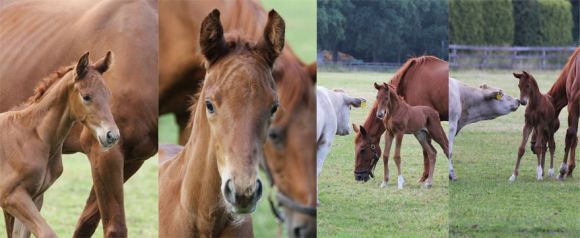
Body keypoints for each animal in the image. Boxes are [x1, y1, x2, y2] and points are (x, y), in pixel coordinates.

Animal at [0, 52, 118, 238]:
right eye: (86, 96)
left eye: (108, 94)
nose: (112, 135)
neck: (33, 136)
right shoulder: (11, 196)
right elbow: (47, 233)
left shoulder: (35, 197)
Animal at [354, 55, 454, 186]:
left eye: (362, 149)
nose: (358, 176)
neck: (411, 78)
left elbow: (424, 152)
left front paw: (423, 178)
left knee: (444, 147)